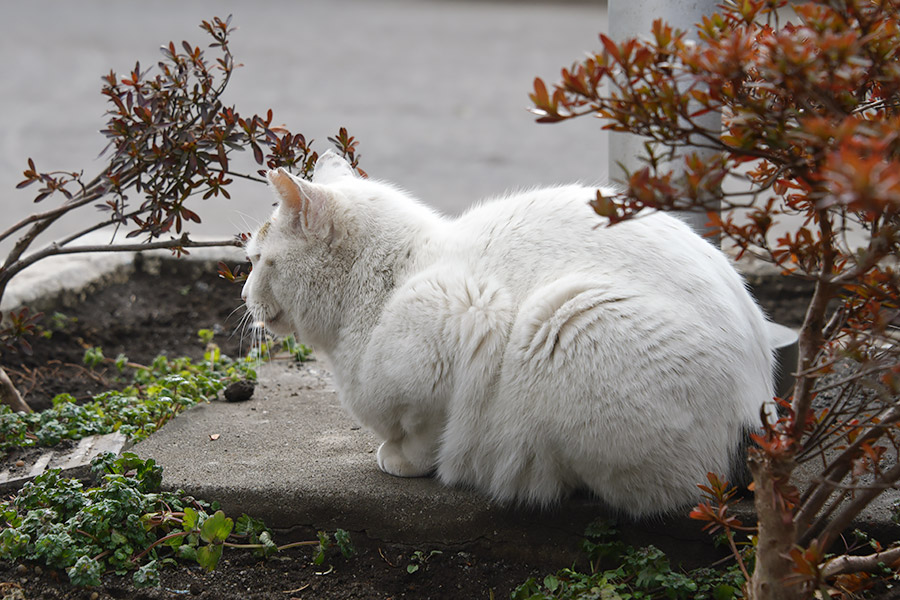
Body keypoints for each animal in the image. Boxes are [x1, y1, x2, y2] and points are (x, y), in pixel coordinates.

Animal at [241, 149, 772, 516]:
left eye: (258, 260)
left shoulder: (464, 316)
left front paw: (404, 459)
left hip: (563, 317)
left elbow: (427, 432)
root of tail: (761, 409)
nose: (244, 293)